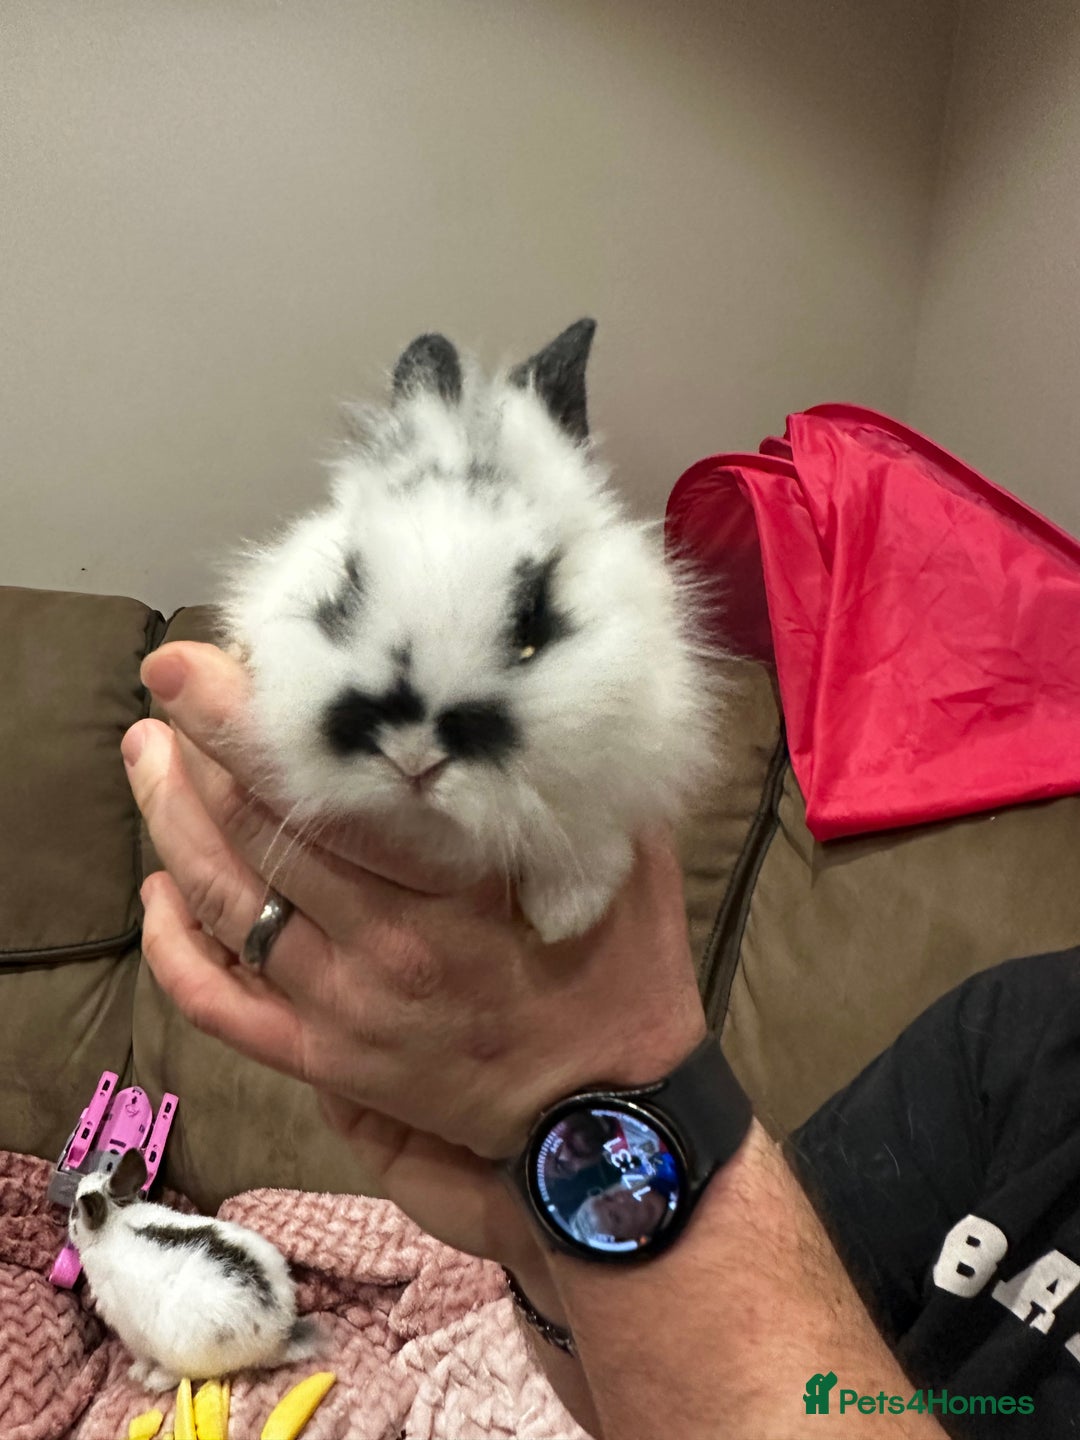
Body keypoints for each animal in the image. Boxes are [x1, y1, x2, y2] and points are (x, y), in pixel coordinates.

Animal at [69, 1147, 316, 1391]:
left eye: (74, 1212)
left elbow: (142, 1358)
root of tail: (279, 1336)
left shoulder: (128, 1329)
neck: (114, 1220)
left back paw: (153, 1381)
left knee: (182, 1375)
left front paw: (135, 1373)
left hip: (183, 1352)